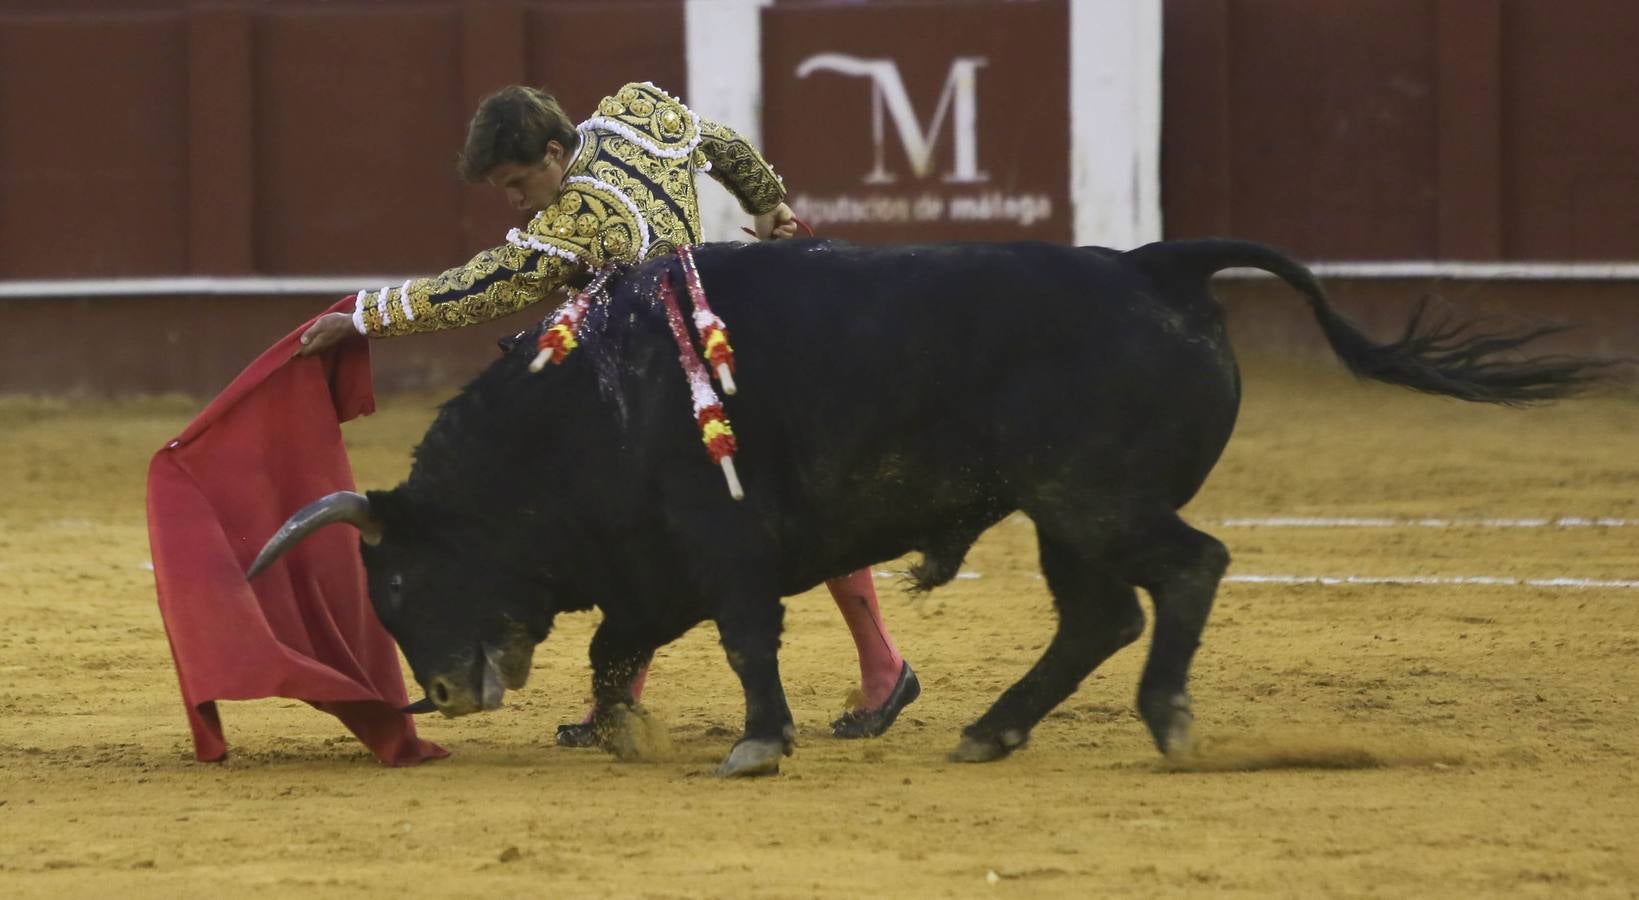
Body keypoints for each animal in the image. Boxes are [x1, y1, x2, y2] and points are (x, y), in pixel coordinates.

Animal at [249, 236, 1606, 770]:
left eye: (396, 578)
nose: (441, 695)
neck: (587, 398)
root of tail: (1155, 265)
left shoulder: (718, 545)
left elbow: (743, 637)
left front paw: (756, 742)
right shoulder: (655, 569)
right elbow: (614, 645)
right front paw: (628, 732)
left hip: (1092, 498)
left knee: (1188, 570)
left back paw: (1165, 721)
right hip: (1061, 517)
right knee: (1100, 614)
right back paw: (992, 728)